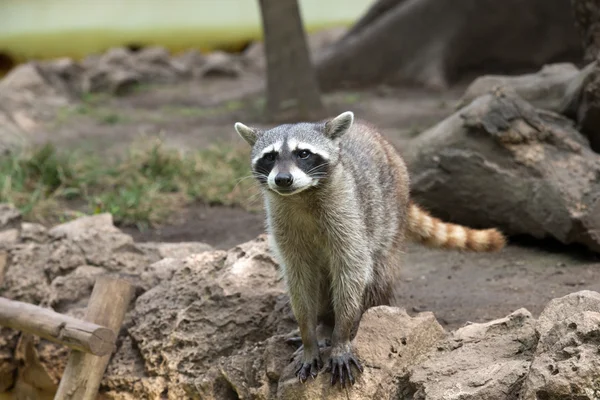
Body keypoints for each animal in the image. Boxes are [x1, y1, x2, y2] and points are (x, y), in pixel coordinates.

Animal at [234, 111, 506, 388]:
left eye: (303, 154)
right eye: (270, 156)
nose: (283, 180)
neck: (301, 196)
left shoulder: (348, 215)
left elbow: (352, 271)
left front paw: (341, 336)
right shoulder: (283, 226)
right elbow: (299, 280)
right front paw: (309, 336)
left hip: (389, 216)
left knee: (377, 275)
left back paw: (355, 321)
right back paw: (323, 325)